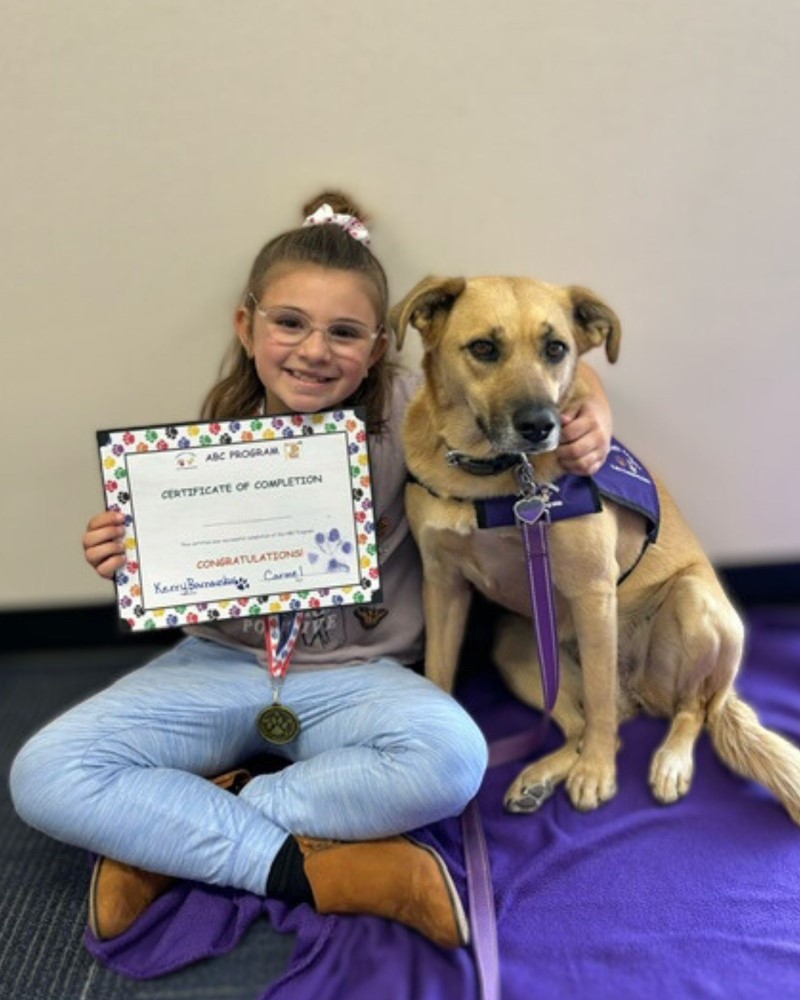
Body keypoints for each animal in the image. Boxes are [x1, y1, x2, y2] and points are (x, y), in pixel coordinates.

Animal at [390, 278, 800, 824]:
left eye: (556, 348)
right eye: (483, 348)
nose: (541, 425)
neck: (492, 479)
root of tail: (641, 693)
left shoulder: (591, 592)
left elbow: (603, 710)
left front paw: (598, 775)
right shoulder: (443, 584)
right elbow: (439, 673)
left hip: (696, 604)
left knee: (684, 709)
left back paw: (669, 761)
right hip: (517, 646)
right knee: (586, 724)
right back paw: (539, 778)